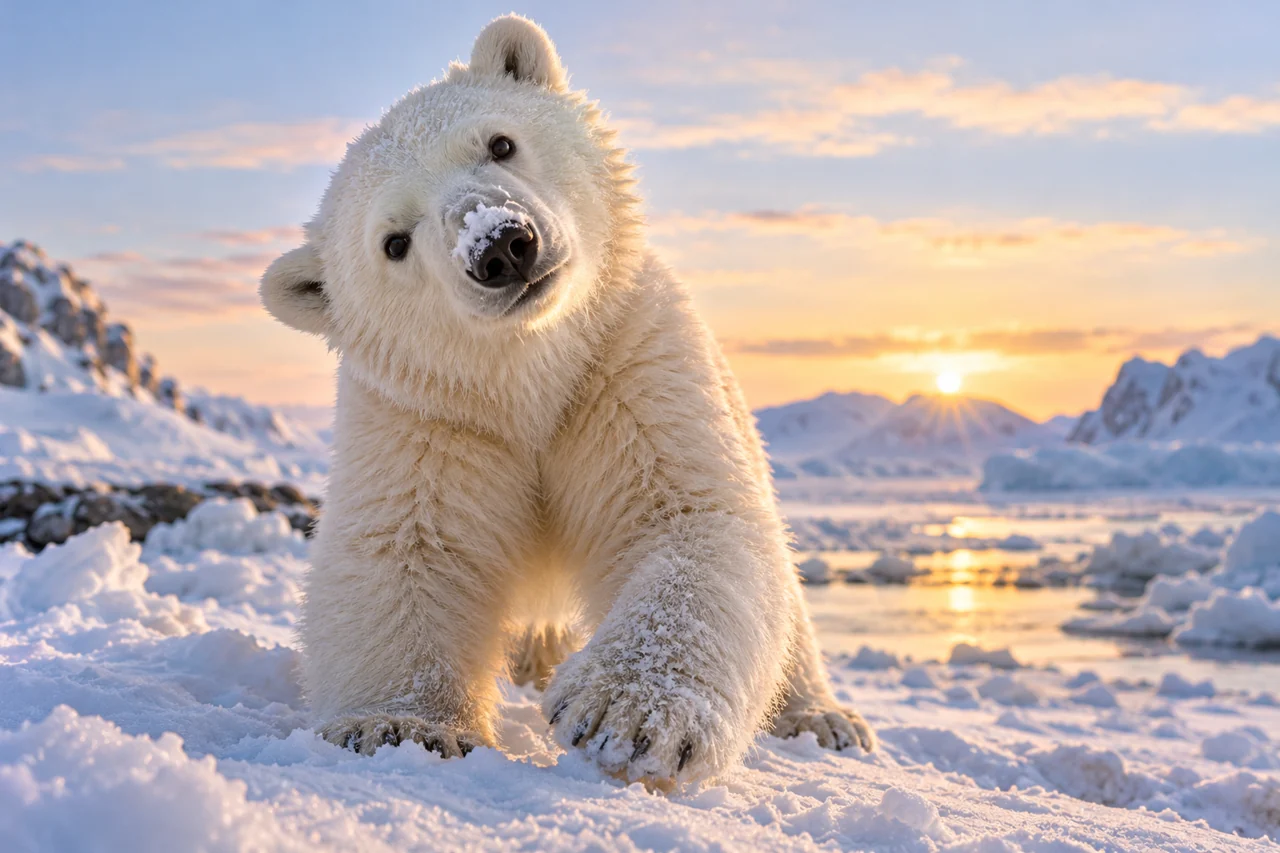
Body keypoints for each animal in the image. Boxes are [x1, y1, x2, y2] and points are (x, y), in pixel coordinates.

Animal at [259, 14, 874, 784]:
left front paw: (625, 714)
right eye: (394, 242)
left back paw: (821, 718)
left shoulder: (625, 362)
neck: (532, 381)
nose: (500, 246)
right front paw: (396, 725)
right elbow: (403, 548)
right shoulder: (428, 416)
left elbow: (688, 517)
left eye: (499, 143)